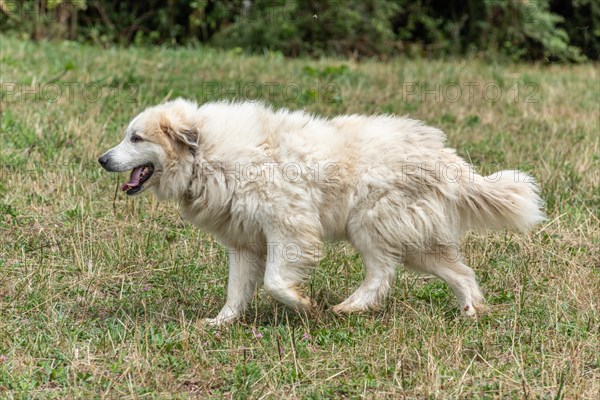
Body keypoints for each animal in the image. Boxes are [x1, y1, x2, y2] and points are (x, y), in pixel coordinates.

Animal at [98, 98, 544, 324]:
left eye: (136, 138)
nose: (102, 160)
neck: (207, 153)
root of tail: (443, 156)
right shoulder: (244, 243)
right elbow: (237, 290)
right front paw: (220, 323)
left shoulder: (289, 227)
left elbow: (275, 281)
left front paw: (302, 305)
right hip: (415, 240)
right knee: (460, 272)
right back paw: (469, 310)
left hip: (370, 224)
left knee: (382, 273)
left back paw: (351, 306)